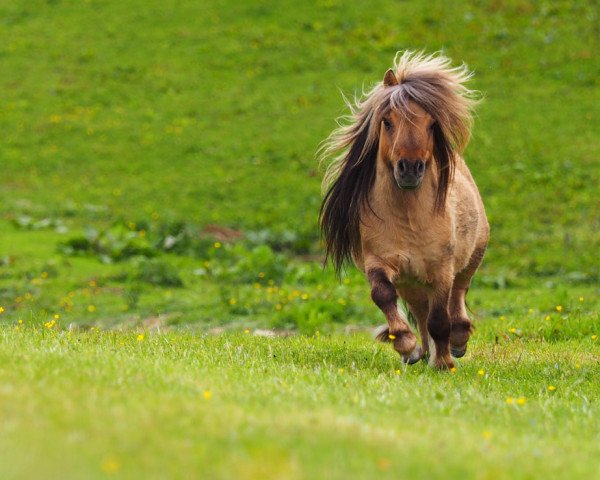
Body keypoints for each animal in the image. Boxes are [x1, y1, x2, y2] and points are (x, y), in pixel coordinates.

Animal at [318, 50, 488, 370]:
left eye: (432, 124)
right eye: (387, 121)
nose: (409, 168)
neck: (409, 219)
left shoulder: (441, 271)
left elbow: (440, 319)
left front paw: (443, 362)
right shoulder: (379, 262)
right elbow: (384, 295)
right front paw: (407, 345)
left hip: (468, 261)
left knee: (458, 296)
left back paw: (457, 343)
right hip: (411, 283)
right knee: (420, 313)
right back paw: (421, 351)